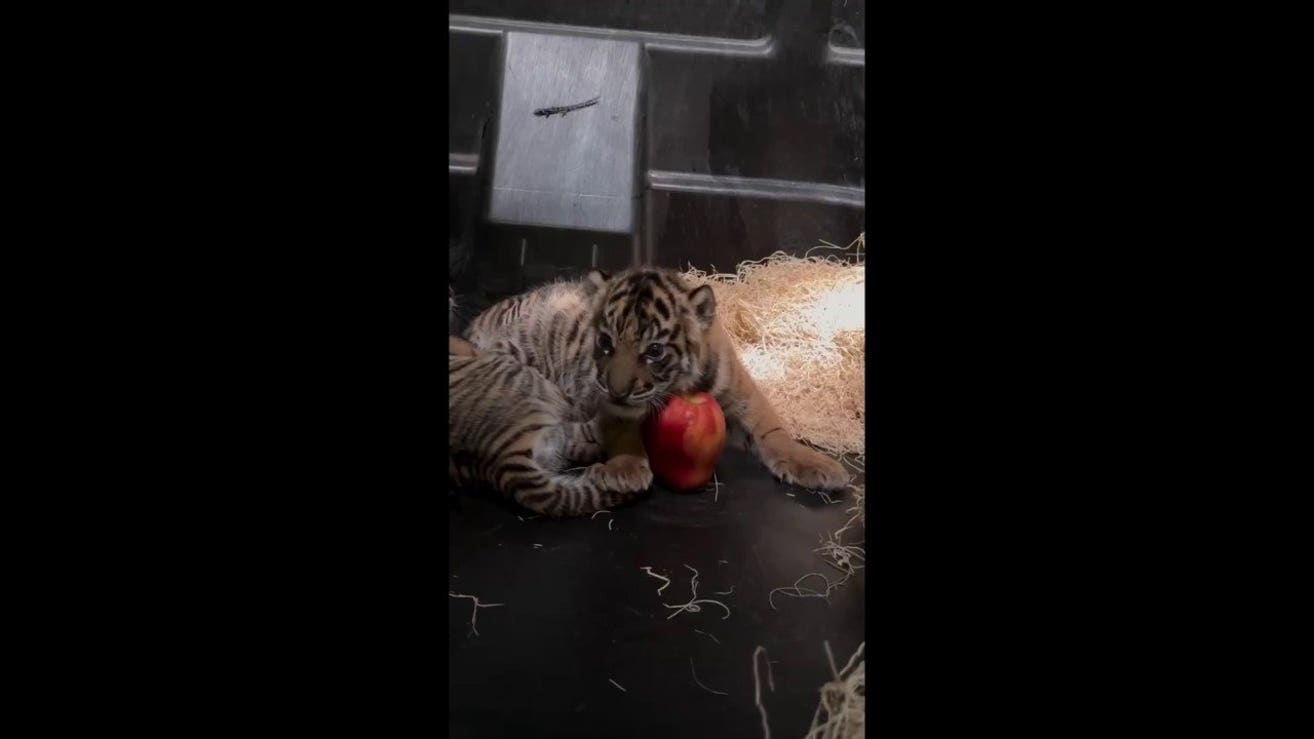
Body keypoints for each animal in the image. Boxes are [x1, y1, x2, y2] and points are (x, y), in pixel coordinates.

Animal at [462, 267, 851, 491]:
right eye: (605, 342)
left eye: (654, 350)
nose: (618, 390)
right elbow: (622, 428)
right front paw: (626, 467)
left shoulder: (743, 393)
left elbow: (773, 429)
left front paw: (817, 466)